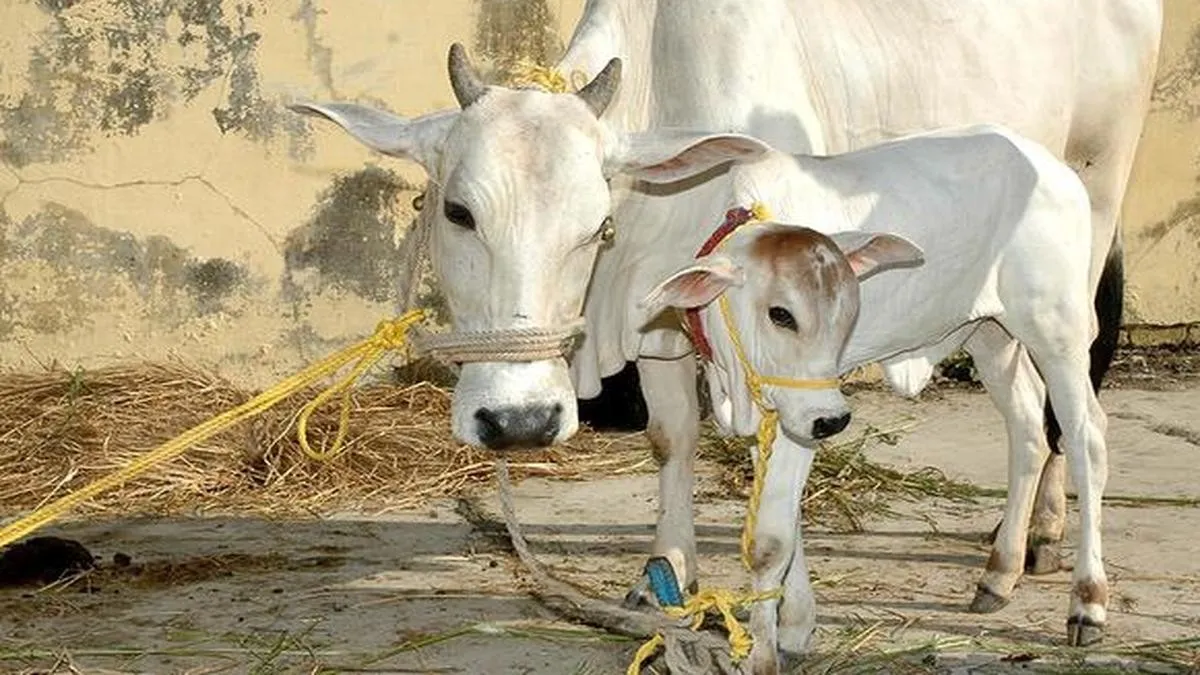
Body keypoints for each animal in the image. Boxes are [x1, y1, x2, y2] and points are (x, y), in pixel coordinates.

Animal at [631, 123, 1101, 670]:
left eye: (849, 311)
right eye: (780, 314)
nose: (835, 421)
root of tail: (1054, 168)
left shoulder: (800, 419)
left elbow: (770, 539)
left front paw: (767, 652)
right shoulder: (775, 413)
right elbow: (784, 519)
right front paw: (795, 627)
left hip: (1058, 331)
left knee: (1086, 438)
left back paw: (1088, 602)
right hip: (991, 334)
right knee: (1028, 428)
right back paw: (998, 576)